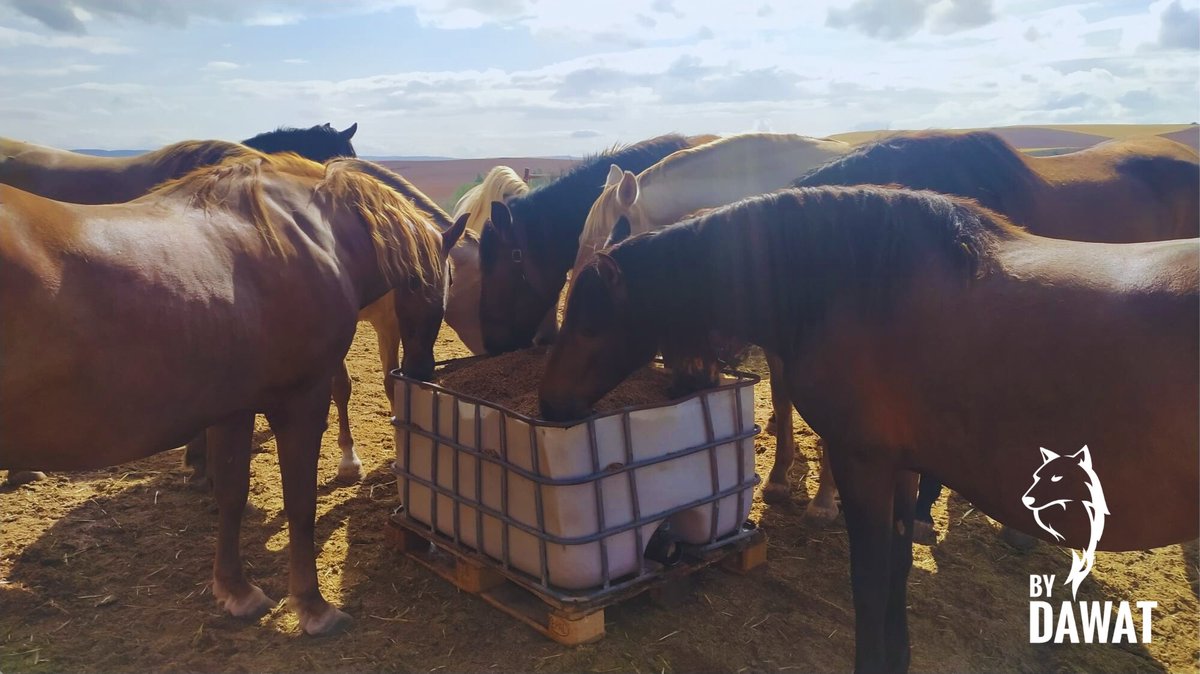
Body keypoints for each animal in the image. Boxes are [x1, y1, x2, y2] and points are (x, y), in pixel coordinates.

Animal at [0, 149, 465, 633]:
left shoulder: (232, 409)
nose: (422, 371)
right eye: (446, 281)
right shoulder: (302, 401)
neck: (314, 239)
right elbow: (299, 503)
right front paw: (313, 606)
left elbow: (232, 495)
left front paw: (236, 591)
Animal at [540, 183, 1195, 671]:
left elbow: (870, 579)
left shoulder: (863, 464)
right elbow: (896, 570)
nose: (550, 405)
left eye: (590, 325)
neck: (858, 286)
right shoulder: (901, 467)